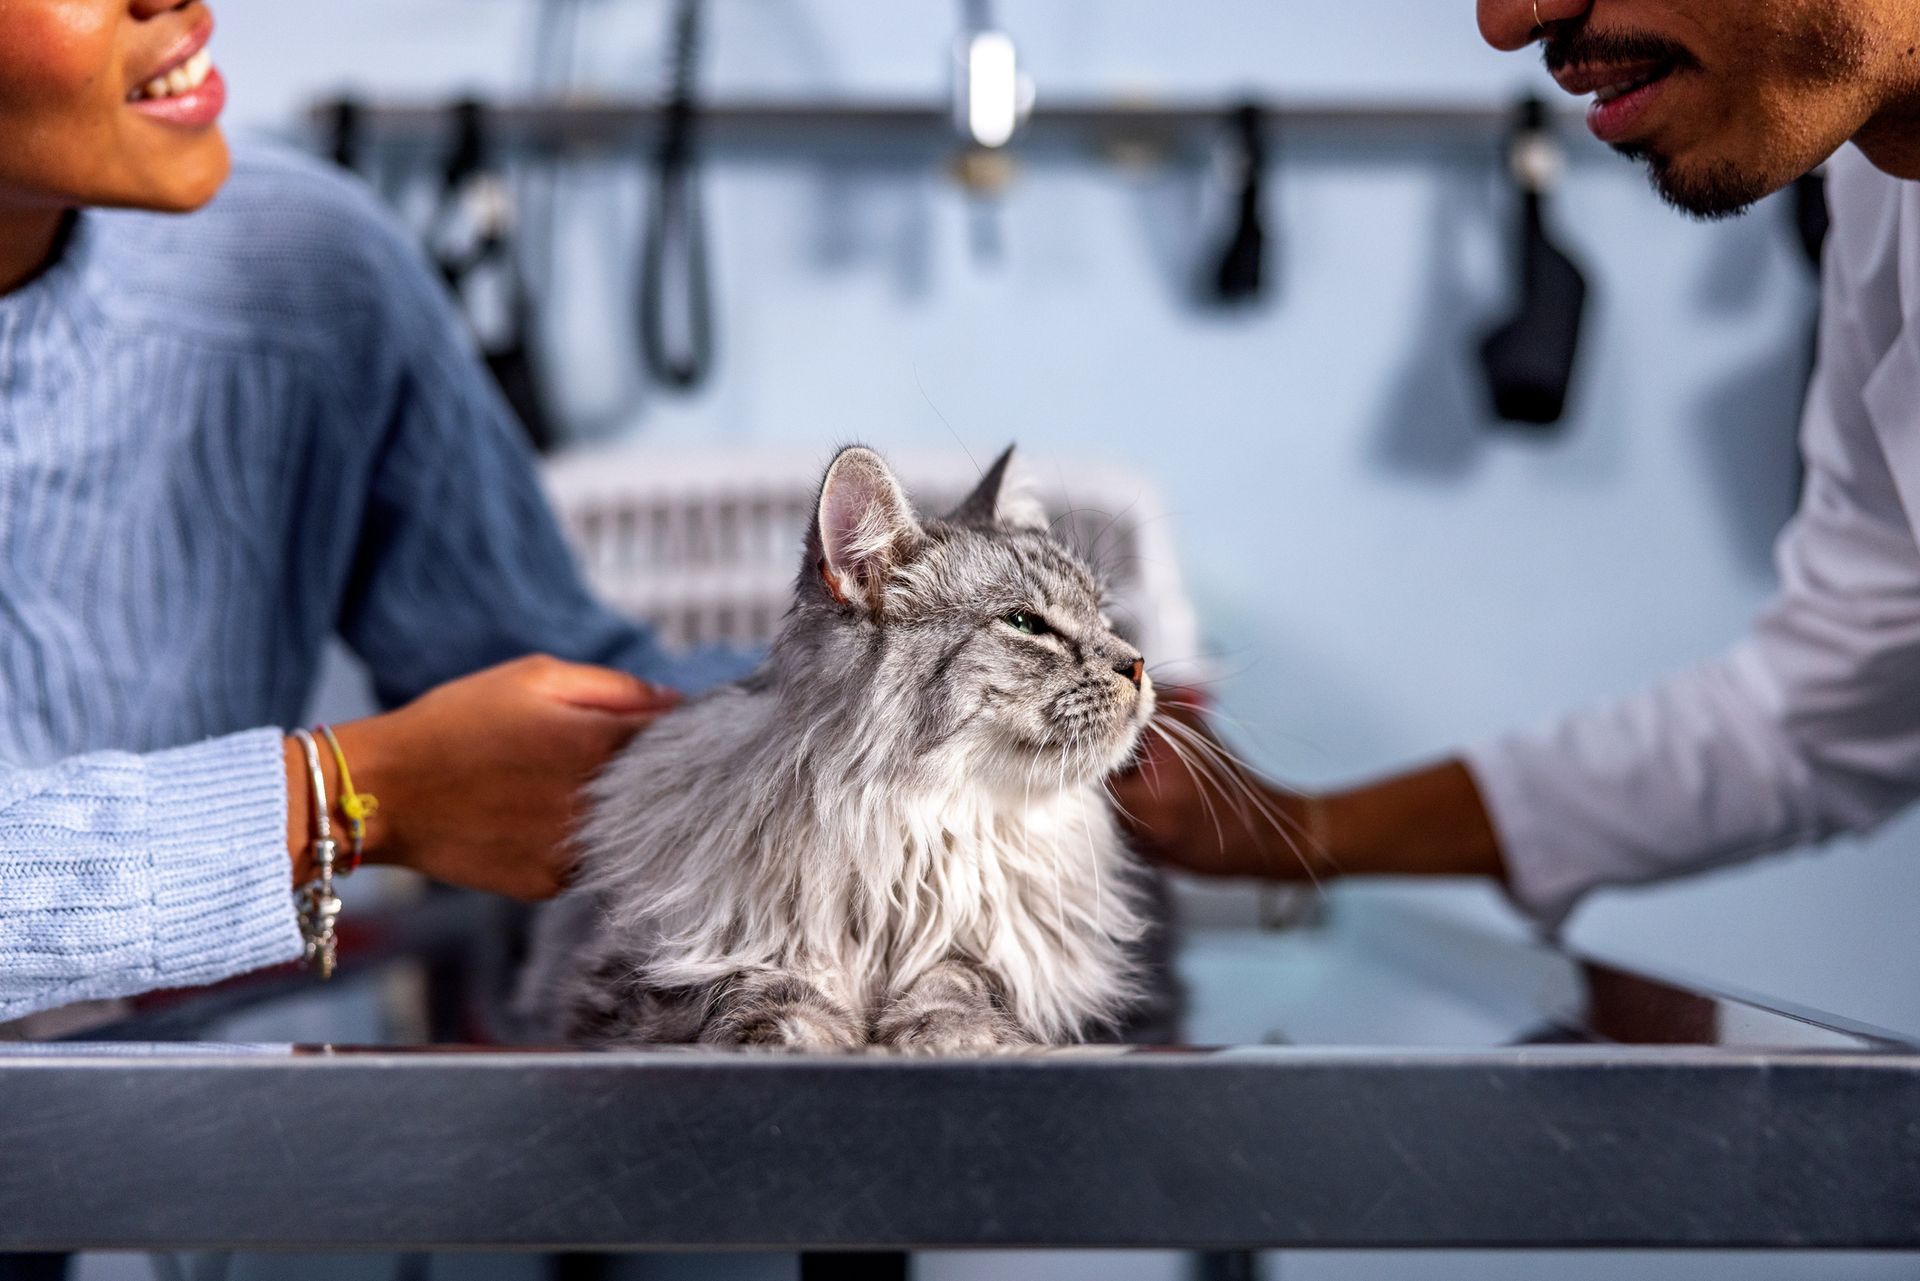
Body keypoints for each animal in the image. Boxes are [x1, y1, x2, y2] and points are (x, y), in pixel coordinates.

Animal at [526, 445, 1152, 1044]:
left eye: (1103, 614)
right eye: (1024, 624)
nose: (1138, 665)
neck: (911, 828)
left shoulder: (1018, 962)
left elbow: (959, 976)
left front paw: (951, 1034)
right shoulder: (635, 971)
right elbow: (752, 977)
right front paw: (794, 1032)